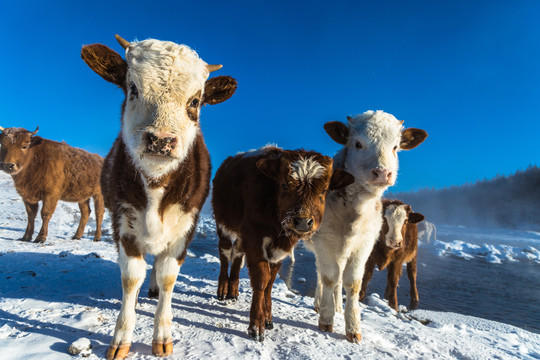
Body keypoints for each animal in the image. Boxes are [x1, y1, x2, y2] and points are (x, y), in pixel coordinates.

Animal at [211, 146, 354, 340]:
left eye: (324, 190)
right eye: (285, 185)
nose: (303, 221)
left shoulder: (279, 249)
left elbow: (270, 283)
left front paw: (268, 318)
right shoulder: (255, 240)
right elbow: (261, 280)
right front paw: (256, 325)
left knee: (238, 254)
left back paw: (232, 291)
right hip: (223, 224)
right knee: (225, 254)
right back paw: (222, 289)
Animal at [308, 110, 426, 344]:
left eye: (395, 147)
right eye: (358, 144)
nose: (382, 173)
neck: (355, 209)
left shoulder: (363, 246)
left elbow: (353, 283)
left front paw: (353, 328)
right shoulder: (324, 241)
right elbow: (329, 278)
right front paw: (326, 319)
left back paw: (336, 306)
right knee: (323, 275)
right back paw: (321, 304)